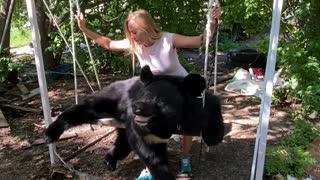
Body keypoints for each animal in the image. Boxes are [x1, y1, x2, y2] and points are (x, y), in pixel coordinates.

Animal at [45, 65, 224, 179]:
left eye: (160, 101)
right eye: (143, 95)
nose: (137, 108)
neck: (164, 124)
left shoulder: (199, 110)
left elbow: (213, 111)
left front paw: (212, 137)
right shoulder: (139, 127)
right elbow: (147, 151)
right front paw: (164, 175)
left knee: (122, 146)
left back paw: (109, 161)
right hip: (111, 100)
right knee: (85, 108)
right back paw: (50, 133)